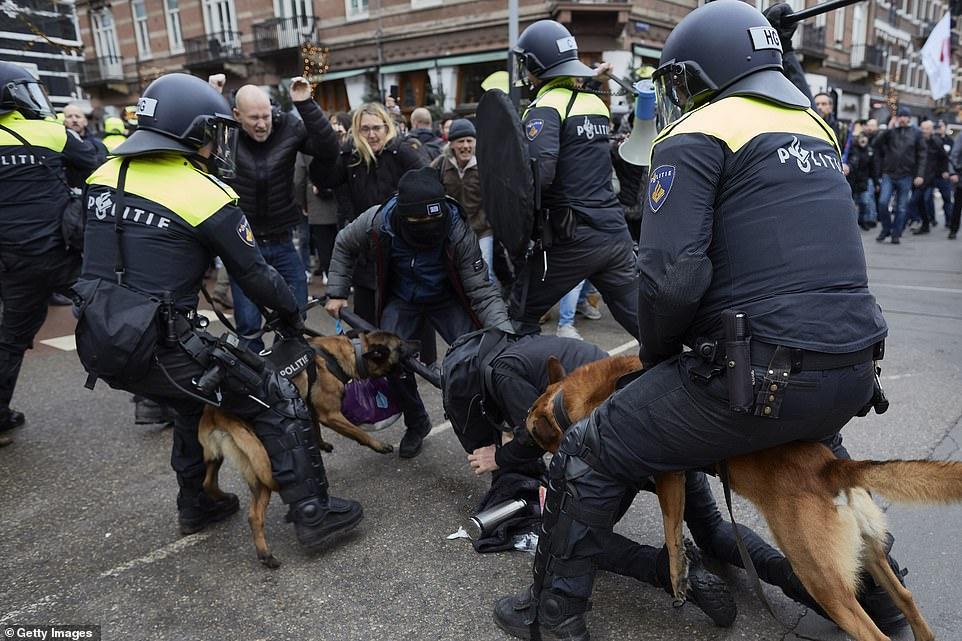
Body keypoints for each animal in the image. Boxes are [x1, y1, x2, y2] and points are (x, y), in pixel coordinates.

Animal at [197, 332, 414, 568]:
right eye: (400, 346)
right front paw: (378, 445)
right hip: (264, 462)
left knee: (216, 489)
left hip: (237, 465)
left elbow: (313, 423)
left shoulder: (309, 405)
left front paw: (320, 443)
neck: (344, 353)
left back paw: (258, 546)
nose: (418, 344)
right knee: (255, 509)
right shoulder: (331, 414)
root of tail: (216, 414)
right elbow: (358, 432)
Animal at [524, 352, 960, 640]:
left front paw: (678, 576)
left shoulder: (667, 475)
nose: (537, 473)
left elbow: (670, 527)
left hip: (822, 580)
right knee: (907, 600)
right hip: (870, 557)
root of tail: (831, 468)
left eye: (531, 434)